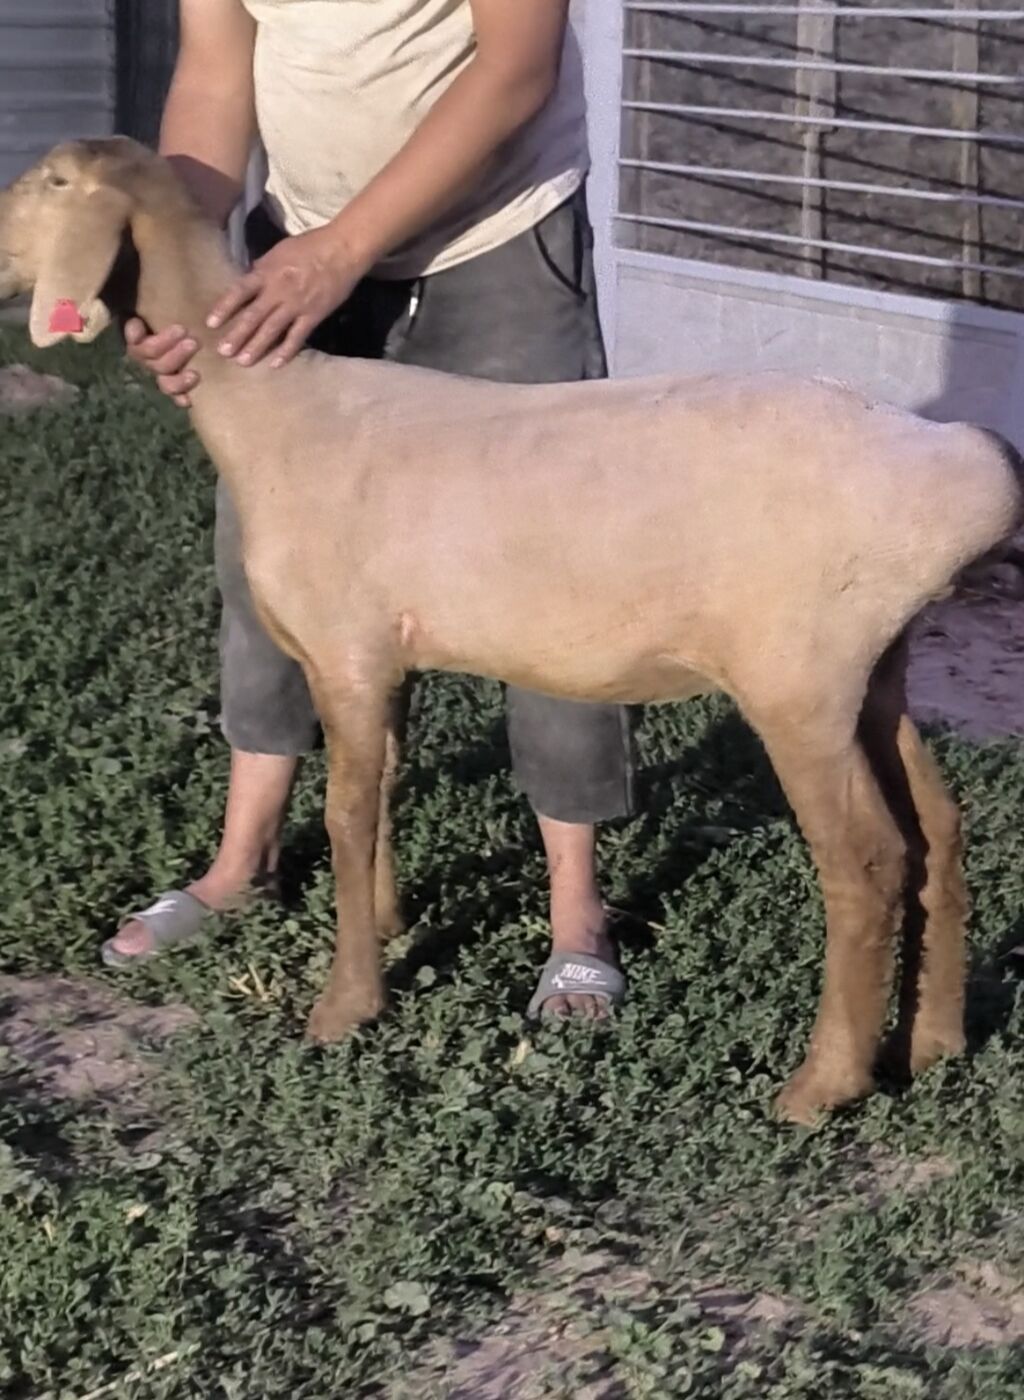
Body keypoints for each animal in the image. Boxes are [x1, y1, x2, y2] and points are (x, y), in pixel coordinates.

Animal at [1, 137, 1021, 1126]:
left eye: (53, 182)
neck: (271, 413)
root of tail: (967, 472)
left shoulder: (345, 646)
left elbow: (341, 813)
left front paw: (344, 1007)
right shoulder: (386, 656)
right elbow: (382, 791)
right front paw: (387, 928)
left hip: (798, 676)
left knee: (867, 859)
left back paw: (822, 1087)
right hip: (873, 666)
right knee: (938, 830)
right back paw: (933, 1044)